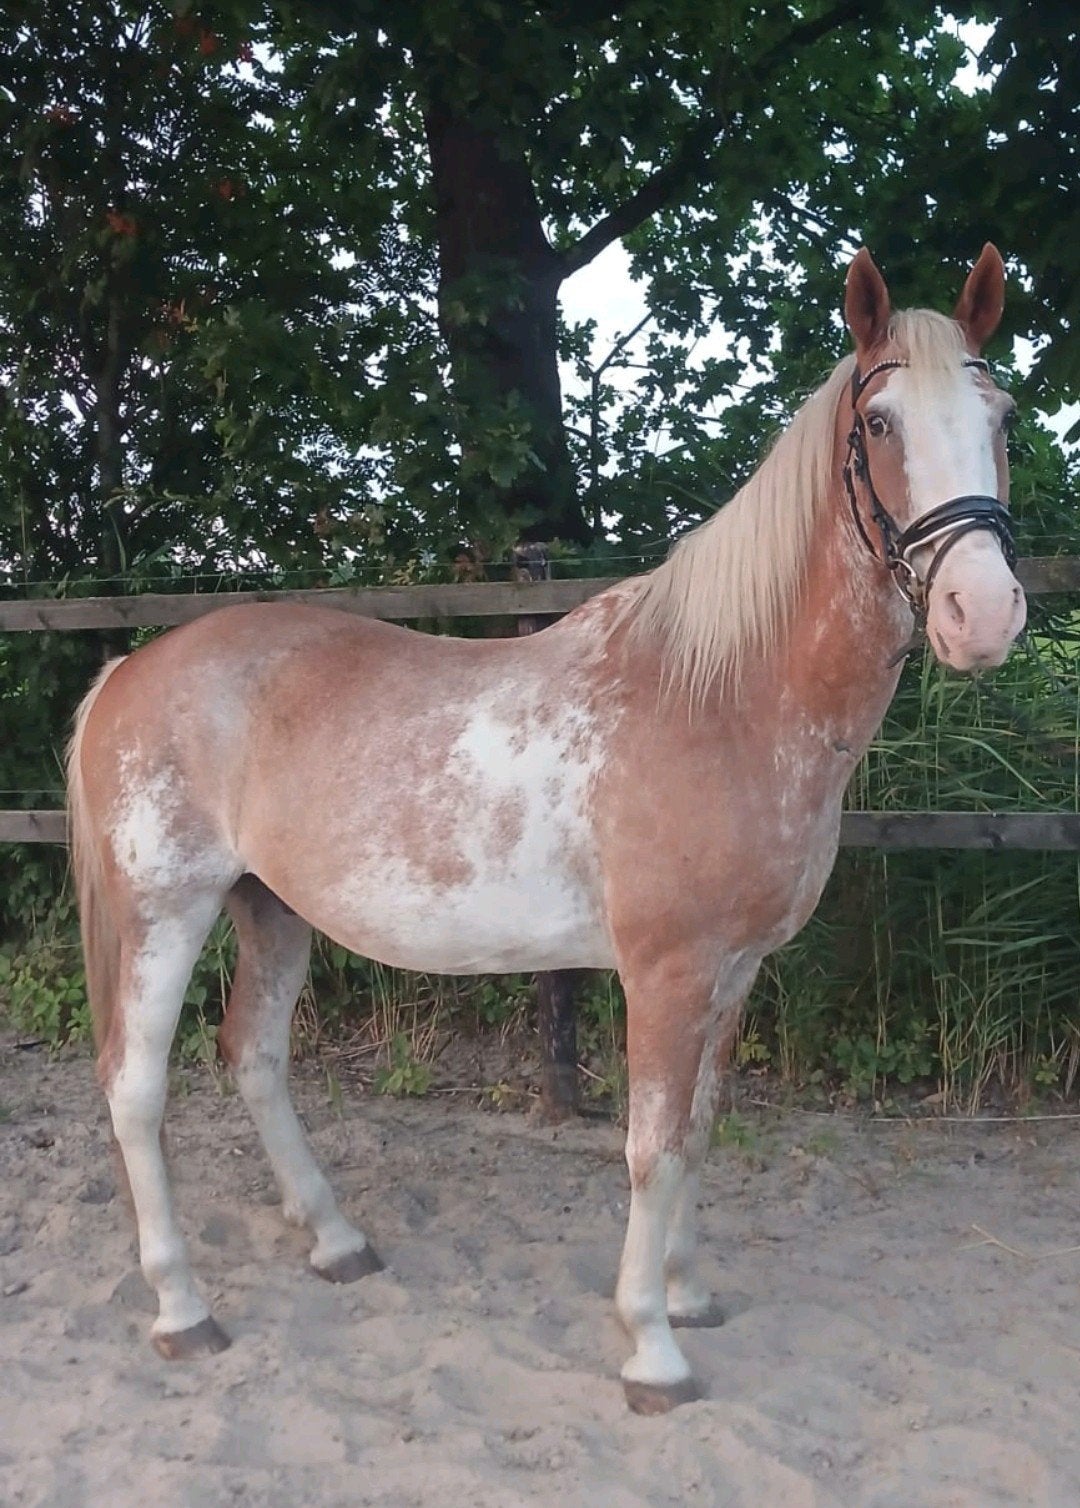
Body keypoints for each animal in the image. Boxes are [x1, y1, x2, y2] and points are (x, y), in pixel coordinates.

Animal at [67, 246, 1025, 1414]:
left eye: (1002, 415)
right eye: (880, 423)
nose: (985, 614)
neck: (723, 696)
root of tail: (132, 666)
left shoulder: (735, 971)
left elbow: (699, 1132)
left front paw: (689, 1294)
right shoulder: (665, 973)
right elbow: (651, 1147)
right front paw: (651, 1346)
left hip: (271, 907)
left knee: (253, 1055)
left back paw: (336, 1240)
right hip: (166, 911)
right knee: (135, 1085)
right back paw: (182, 1306)